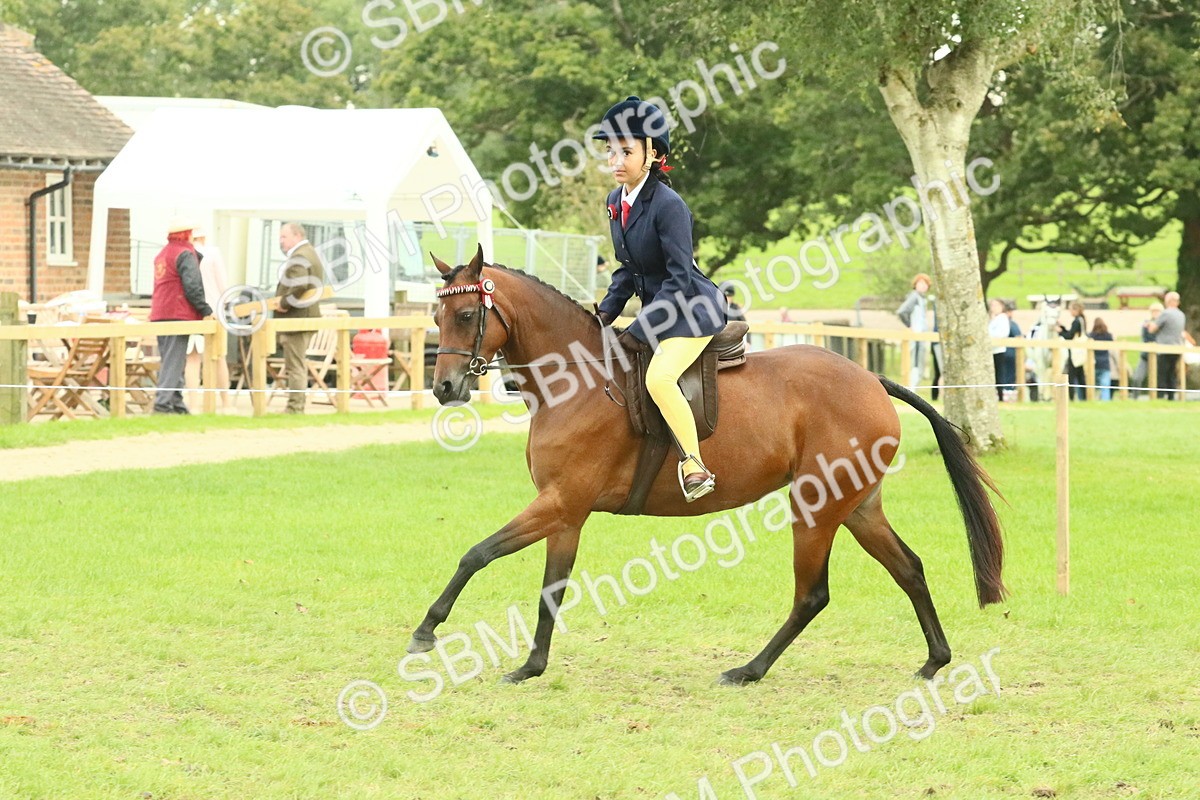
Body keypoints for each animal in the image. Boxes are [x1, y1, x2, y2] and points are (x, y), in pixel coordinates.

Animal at [409, 246, 1006, 686]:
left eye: (467, 315)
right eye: (435, 316)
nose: (444, 389)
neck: (577, 380)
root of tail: (871, 379)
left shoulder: (559, 503)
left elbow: (476, 554)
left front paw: (426, 631)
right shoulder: (566, 513)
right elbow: (549, 589)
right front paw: (532, 667)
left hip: (815, 507)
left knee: (813, 594)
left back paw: (749, 670)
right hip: (858, 507)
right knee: (909, 569)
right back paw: (934, 660)